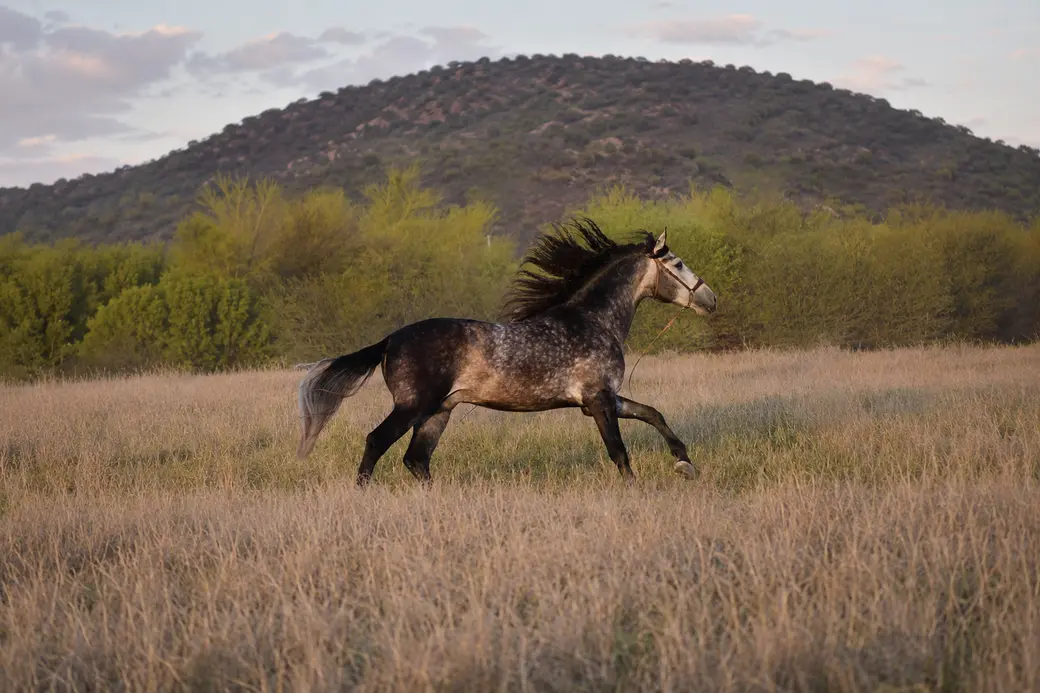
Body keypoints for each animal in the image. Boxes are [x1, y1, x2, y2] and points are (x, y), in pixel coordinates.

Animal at [295, 217, 717, 486]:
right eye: (679, 263)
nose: (710, 300)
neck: (594, 320)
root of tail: (389, 340)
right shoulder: (598, 400)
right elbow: (619, 452)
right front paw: (637, 488)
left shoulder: (603, 399)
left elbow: (653, 414)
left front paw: (685, 464)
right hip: (412, 406)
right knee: (377, 443)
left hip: (438, 411)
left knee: (417, 460)